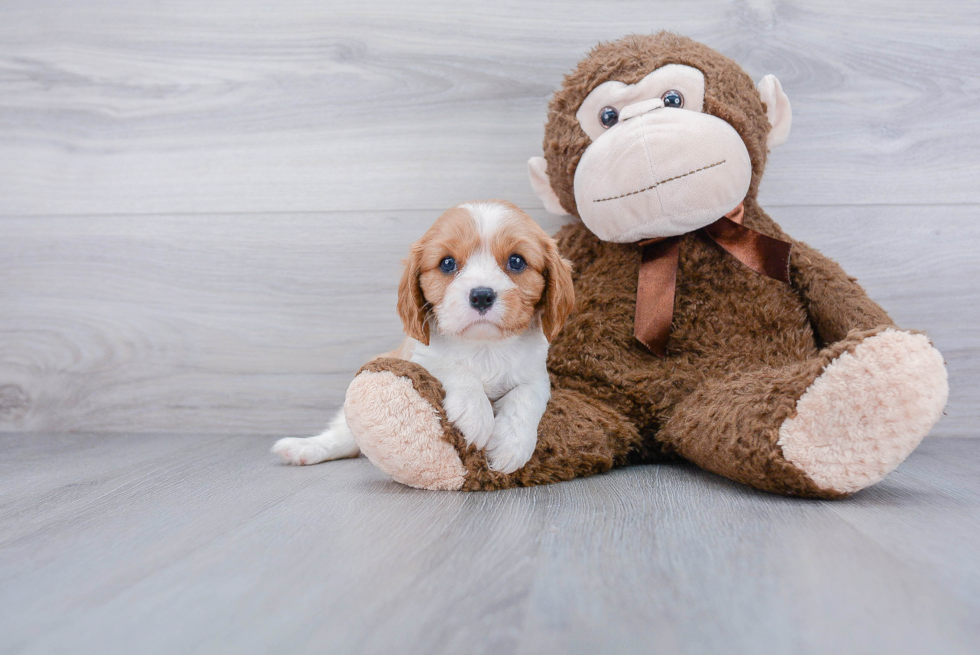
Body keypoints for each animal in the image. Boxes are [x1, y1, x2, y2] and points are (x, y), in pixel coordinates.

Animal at [272, 200, 576, 472]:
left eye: (516, 261)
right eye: (447, 263)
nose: (481, 295)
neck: (484, 346)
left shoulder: (536, 375)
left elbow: (526, 396)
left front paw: (512, 444)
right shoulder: (418, 356)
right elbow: (453, 368)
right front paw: (475, 412)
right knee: (343, 437)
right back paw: (303, 448)